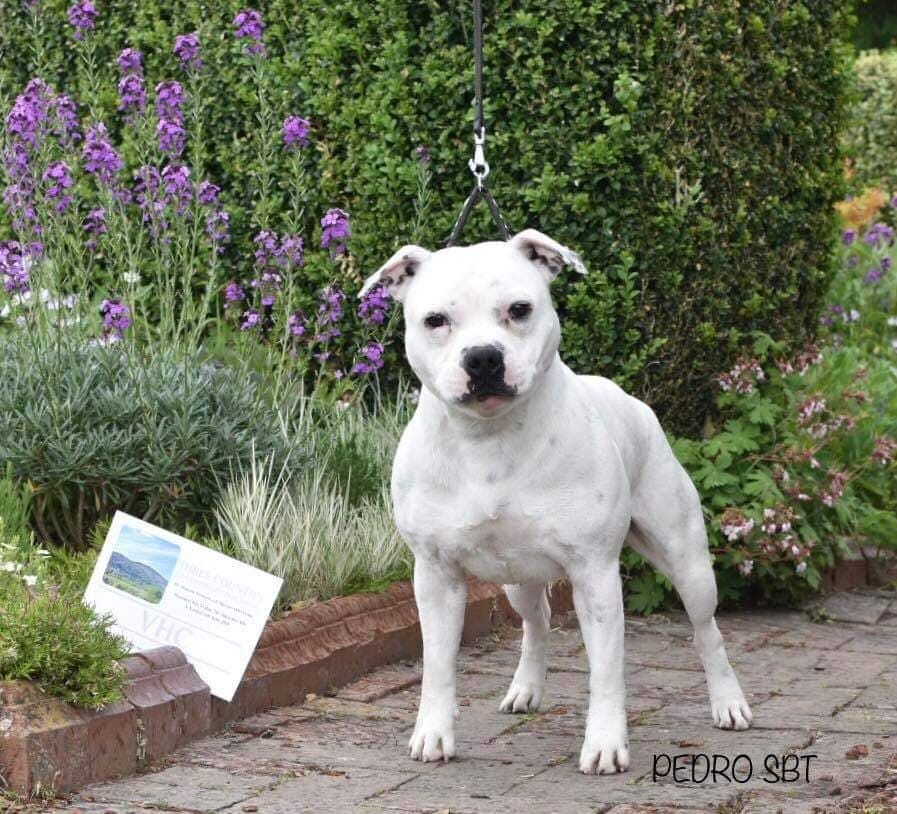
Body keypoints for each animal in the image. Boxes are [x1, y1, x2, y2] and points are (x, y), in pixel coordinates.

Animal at [359, 229, 752, 775]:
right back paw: (526, 689)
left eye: (519, 309)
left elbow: (606, 669)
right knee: (538, 620)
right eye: (435, 320)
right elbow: (437, 665)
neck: (490, 440)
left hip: (687, 560)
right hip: (515, 580)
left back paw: (728, 702)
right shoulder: (436, 577)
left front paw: (605, 743)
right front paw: (433, 734)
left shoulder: (595, 574)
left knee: (706, 629)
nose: (483, 358)